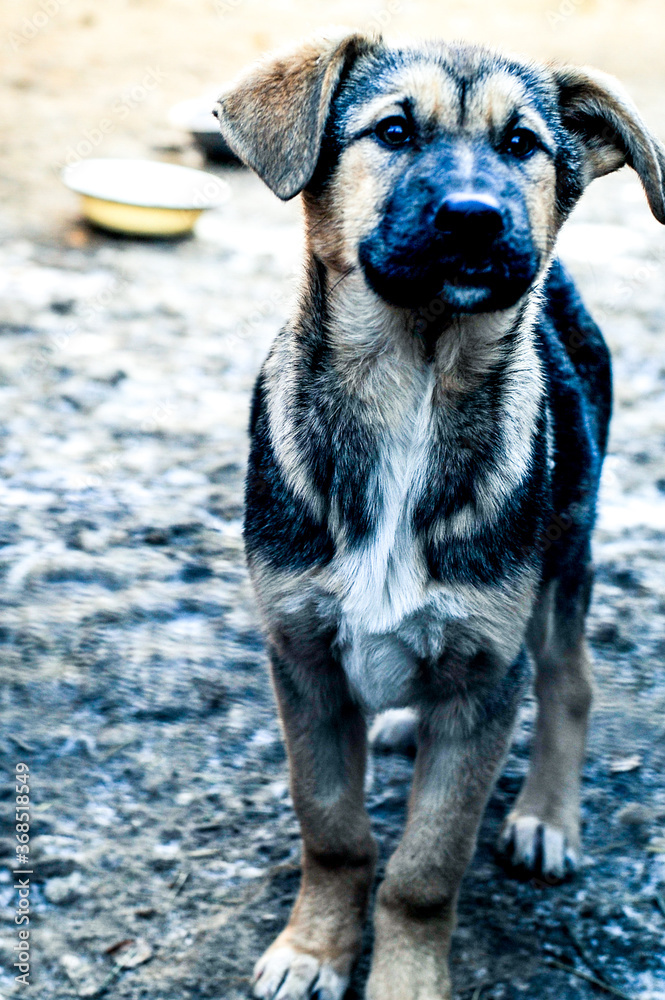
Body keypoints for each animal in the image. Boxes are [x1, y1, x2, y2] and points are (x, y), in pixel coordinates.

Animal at [215, 31, 660, 1000]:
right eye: (392, 130)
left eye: (522, 145)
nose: (474, 220)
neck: (411, 385)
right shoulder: (300, 655)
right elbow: (333, 828)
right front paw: (314, 950)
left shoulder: (485, 676)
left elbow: (425, 866)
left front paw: (404, 977)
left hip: (564, 560)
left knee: (570, 681)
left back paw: (546, 816)